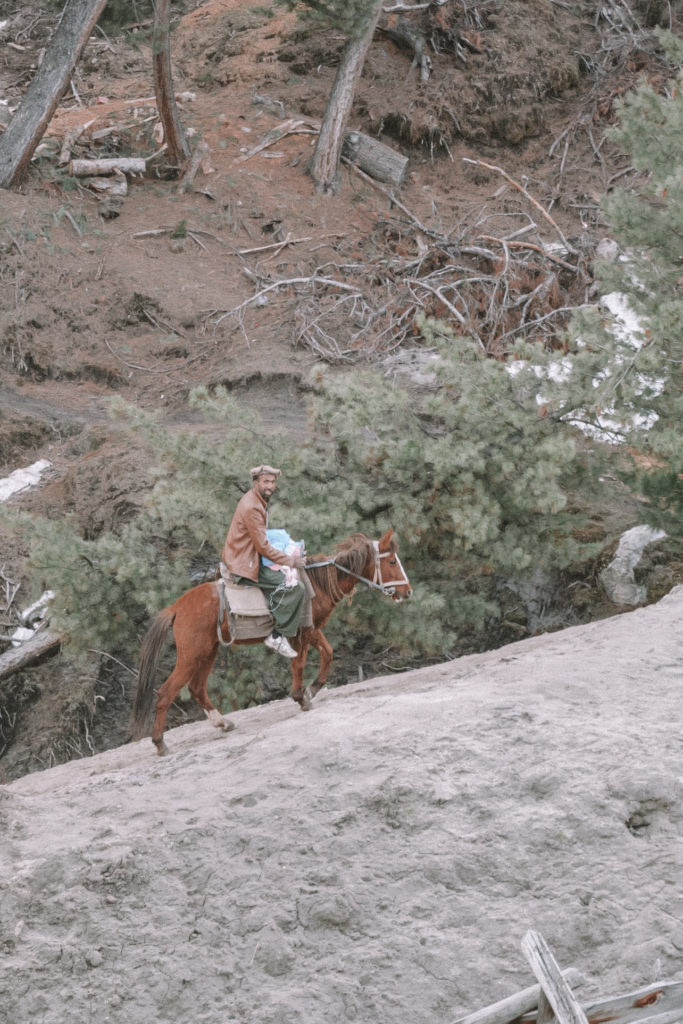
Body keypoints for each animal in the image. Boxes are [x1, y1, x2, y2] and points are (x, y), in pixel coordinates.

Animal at [132, 528, 413, 753]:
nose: (408, 592)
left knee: (197, 688)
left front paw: (311, 689)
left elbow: (327, 653)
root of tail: (176, 607)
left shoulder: (311, 629)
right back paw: (159, 743)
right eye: (391, 561)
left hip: (208, 651)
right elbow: (301, 663)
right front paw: (302, 696)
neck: (317, 583)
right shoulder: (303, 632)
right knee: (166, 692)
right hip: (193, 654)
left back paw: (222, 722)